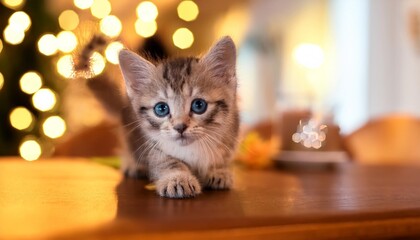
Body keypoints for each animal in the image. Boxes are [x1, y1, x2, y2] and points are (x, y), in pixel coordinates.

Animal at [78, 35, 240, 197]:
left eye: (199, 105)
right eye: (161, 109)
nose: (180, 127)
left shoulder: (231, 132)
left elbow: (223, 156)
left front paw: (219, 170)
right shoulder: (152, 145)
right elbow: (166, 162)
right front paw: (178, 178)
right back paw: (133, 164)